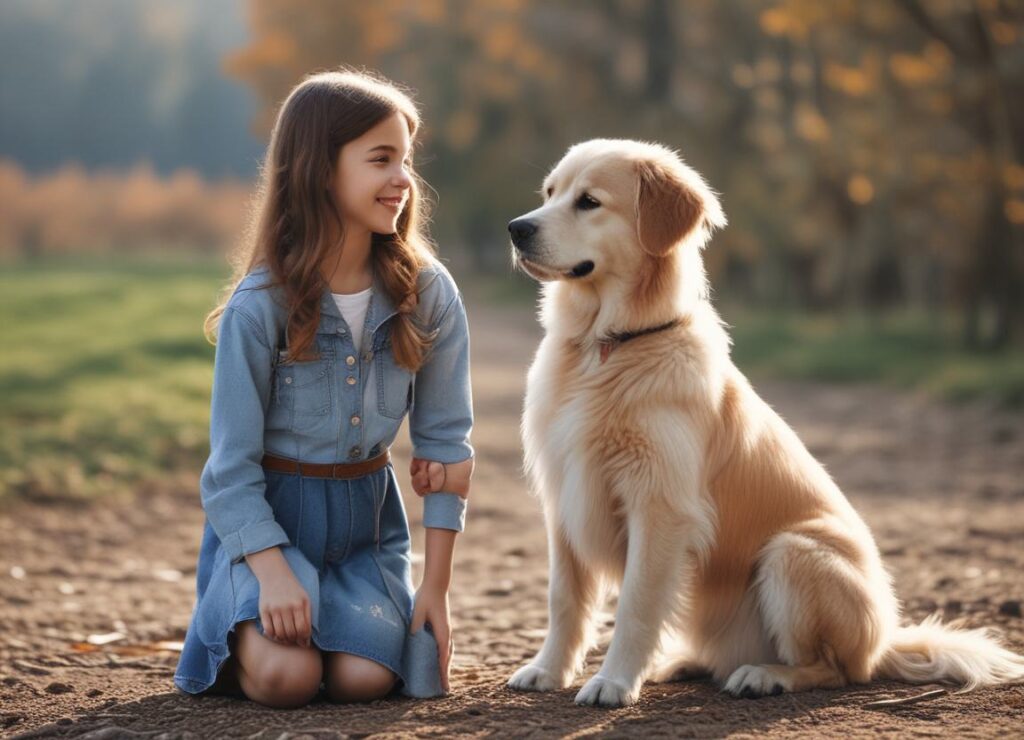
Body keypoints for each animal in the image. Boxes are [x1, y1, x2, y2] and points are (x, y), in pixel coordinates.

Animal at [503, 136, 1024, 708]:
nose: (516, 228)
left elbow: (636, 606)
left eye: (589, 202)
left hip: (792, 551)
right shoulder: (563, 495)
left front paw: (613, 681)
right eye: (549, 193)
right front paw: (547, 670)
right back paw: (683, 662)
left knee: (834, 669)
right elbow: (563, 600)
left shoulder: (660, 506)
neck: (606, 346)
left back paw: (764, 674)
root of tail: (884, 642)